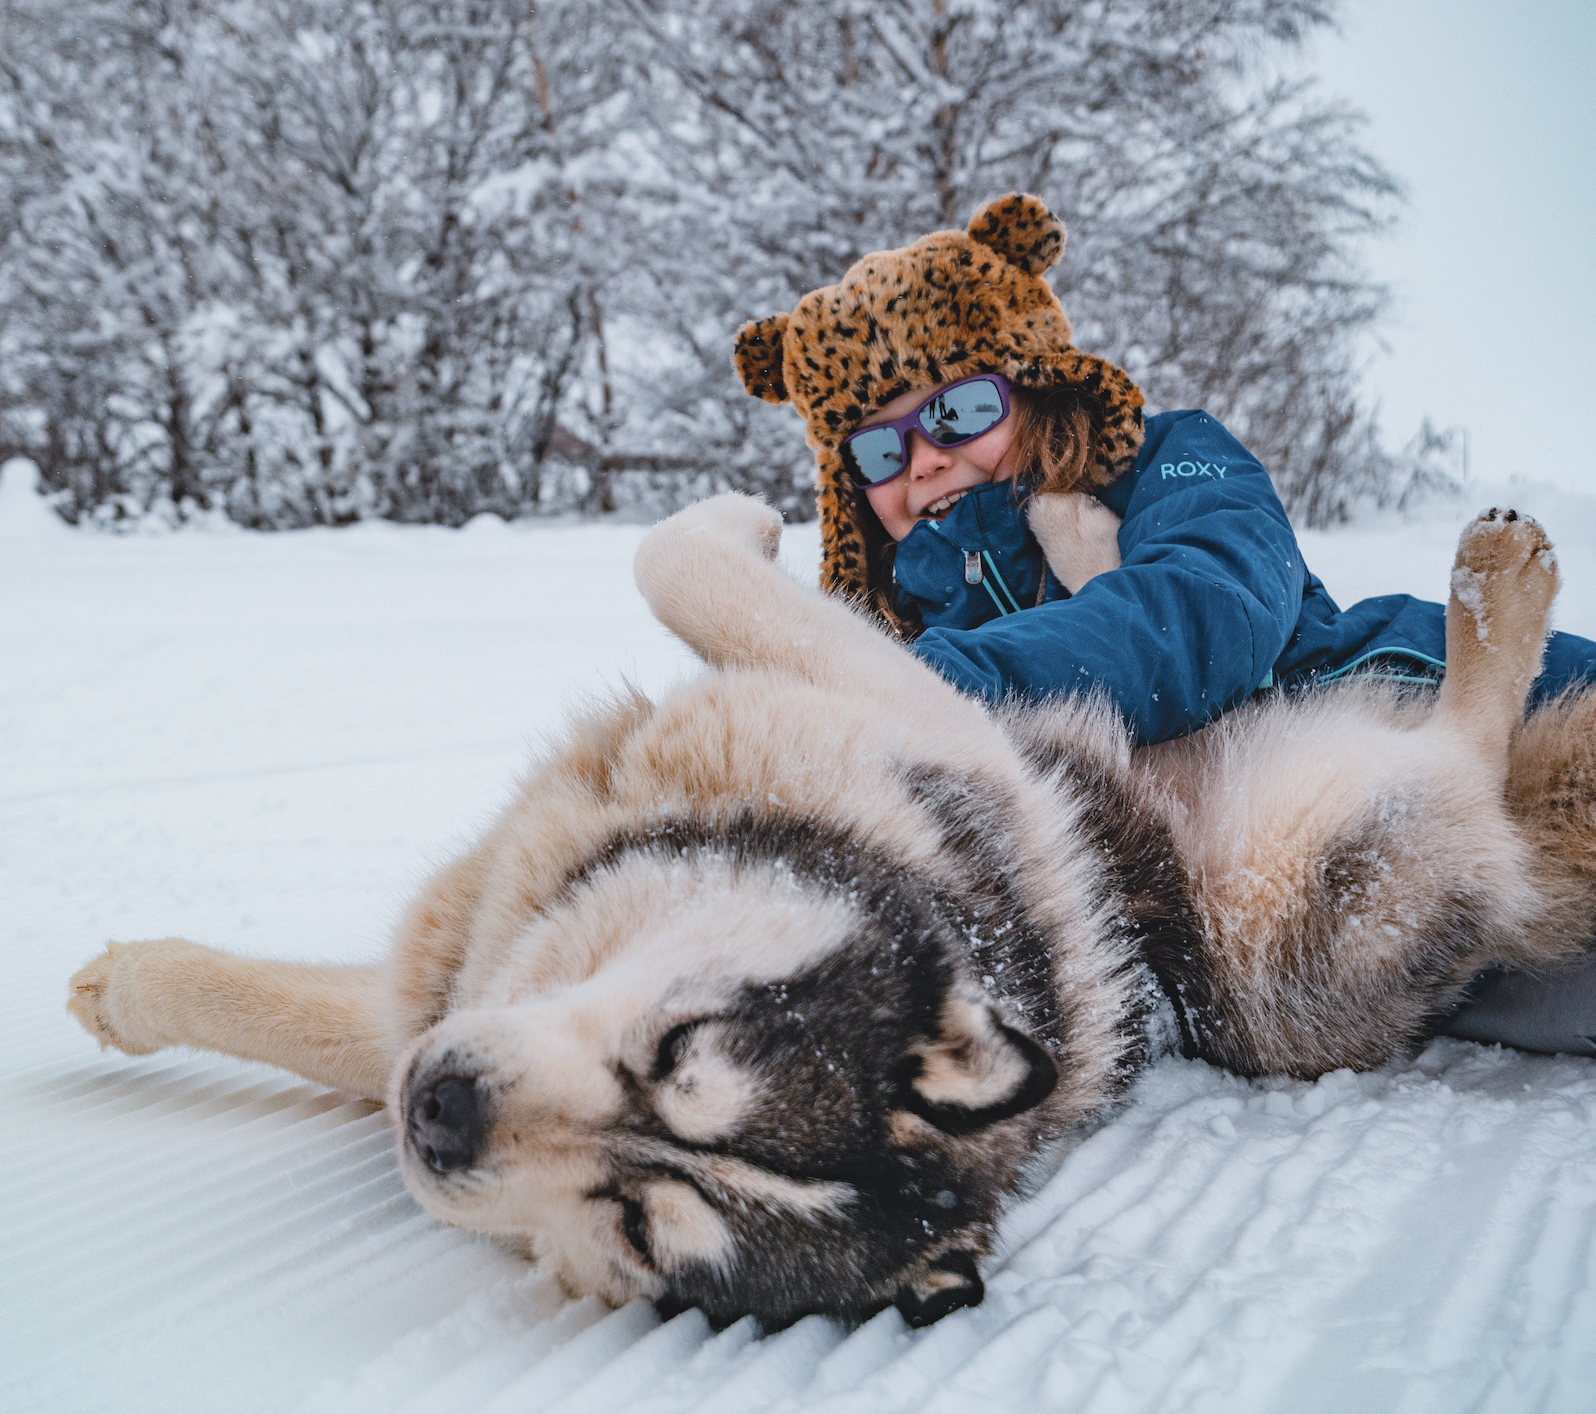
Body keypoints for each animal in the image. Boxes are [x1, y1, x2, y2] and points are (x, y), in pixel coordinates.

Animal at [68, 494, 1596, 1327]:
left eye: (640, 1223)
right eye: (677, 1042)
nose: (441, 1114)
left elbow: (670, 560)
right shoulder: (449, 978)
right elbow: (283, 1003)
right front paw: (125, 983)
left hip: (1318, 885)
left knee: (1466, 757)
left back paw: (1495, 600)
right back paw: (1091, 523)